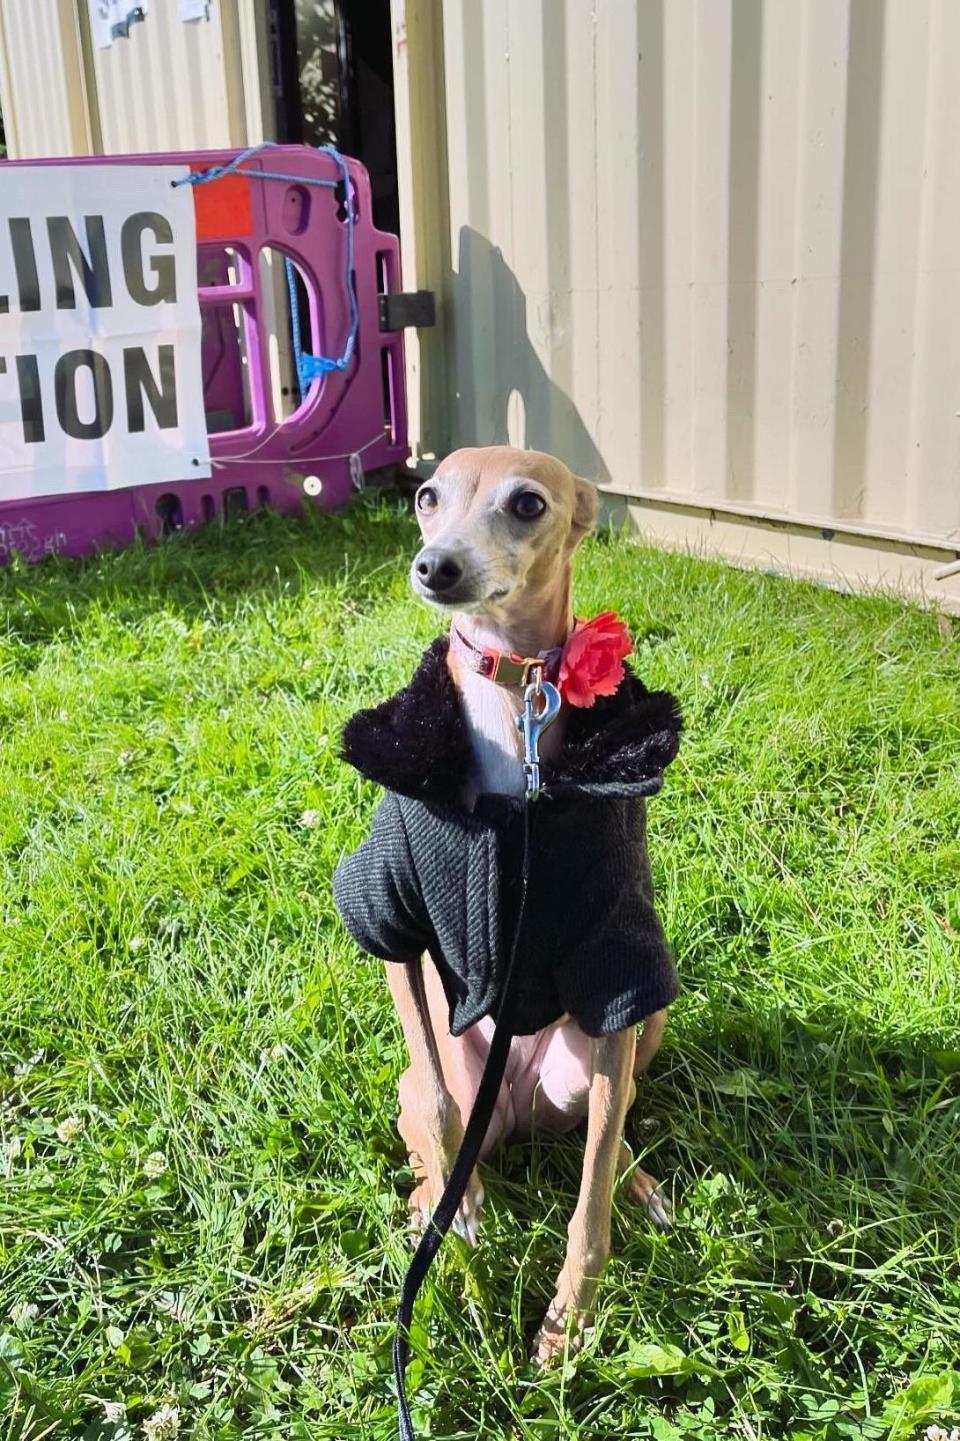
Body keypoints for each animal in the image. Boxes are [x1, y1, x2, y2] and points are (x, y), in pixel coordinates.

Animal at [332, 446, 677, 1360]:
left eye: (527, 504)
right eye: (426, 496)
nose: (435, 565)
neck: (508, 706)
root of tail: (515, 1109)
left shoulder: (617, 965)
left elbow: (591, 1184)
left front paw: (572, 1312)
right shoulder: (395, 922)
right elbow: (444, 1111)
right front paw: (458, 1234)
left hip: (612, 1048)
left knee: (607, 1125)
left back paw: (642, 1183)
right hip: (435, 1071)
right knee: (434, 1122)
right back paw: (437, 1198)